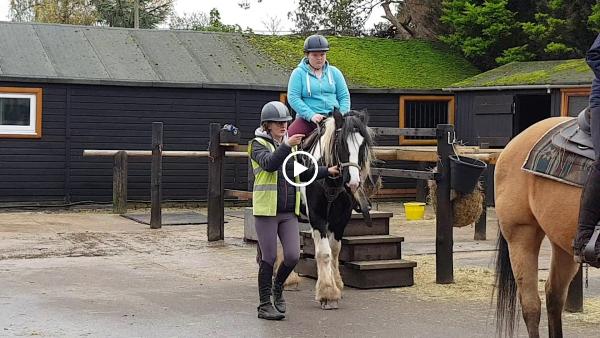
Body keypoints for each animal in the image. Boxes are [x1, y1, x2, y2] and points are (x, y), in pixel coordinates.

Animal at [302, 109, 372, 310]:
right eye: (341, 143)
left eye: (363, 144)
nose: (353, 182)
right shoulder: (317, 216)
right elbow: (324, 253)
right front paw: (327, 293)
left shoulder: (341, 218)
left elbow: (334, 250)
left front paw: (336, 285)